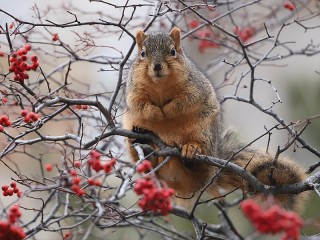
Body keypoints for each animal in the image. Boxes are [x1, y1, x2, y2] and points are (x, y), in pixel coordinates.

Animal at [122, 26, 308, 212]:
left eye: (172, 51)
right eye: (142, 53)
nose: (157, 66)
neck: (160, 85)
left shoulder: (195, 88)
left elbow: (184, 102)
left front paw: (167, 110)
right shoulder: (133, 91)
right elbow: (138, 104)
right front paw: (155, 112)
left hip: (204, 133)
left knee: (201, 167)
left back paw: (191, 150)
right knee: (148, 164)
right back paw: (144, 144)